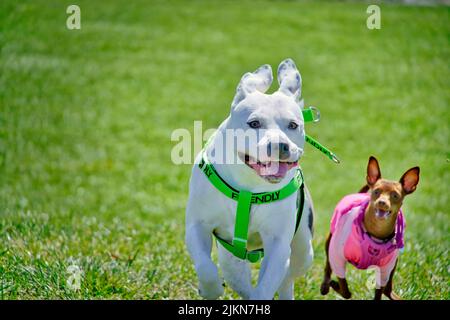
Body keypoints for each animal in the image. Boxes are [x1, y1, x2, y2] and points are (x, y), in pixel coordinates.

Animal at [185, 58, 314, 300]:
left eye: (293, 125)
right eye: (254, 123)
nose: (280, 145)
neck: (249, 187)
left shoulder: (277, 243)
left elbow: (265, 287)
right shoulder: (198, 226)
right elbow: (206, 267)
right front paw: (210, 289)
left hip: (304, 249)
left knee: (288, 276)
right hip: (231, 254)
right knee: (236, 275)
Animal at [320, 156, 418, 298]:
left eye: (395, 195)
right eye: (376, 191)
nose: (382, 202)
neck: (376, 233)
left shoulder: (385, 270)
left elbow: (378, 293)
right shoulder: (337, 257)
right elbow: (345, 290)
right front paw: (334, 284)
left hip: (393, 265)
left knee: (388, 289)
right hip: (330, 243)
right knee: (327, 267)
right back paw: (325, 285)